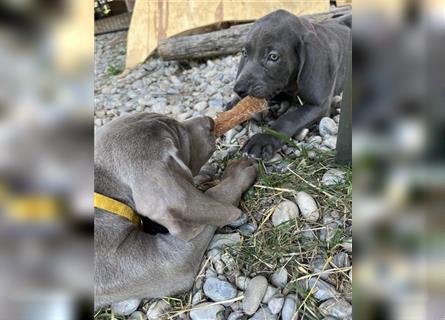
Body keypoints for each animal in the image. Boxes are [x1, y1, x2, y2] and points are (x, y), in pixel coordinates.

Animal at [95, 112, 258, 308]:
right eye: (181, 138)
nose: (210, 121)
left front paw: (203, 174)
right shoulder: (171, 263)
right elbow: (212, 197)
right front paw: (237, 175)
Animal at [229, 9, 350, 160]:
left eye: (273, 57)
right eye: (244, 53)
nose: (239, 89)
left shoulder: (319, 105)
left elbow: (289, 119)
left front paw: (263, 139)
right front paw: (233, 105)